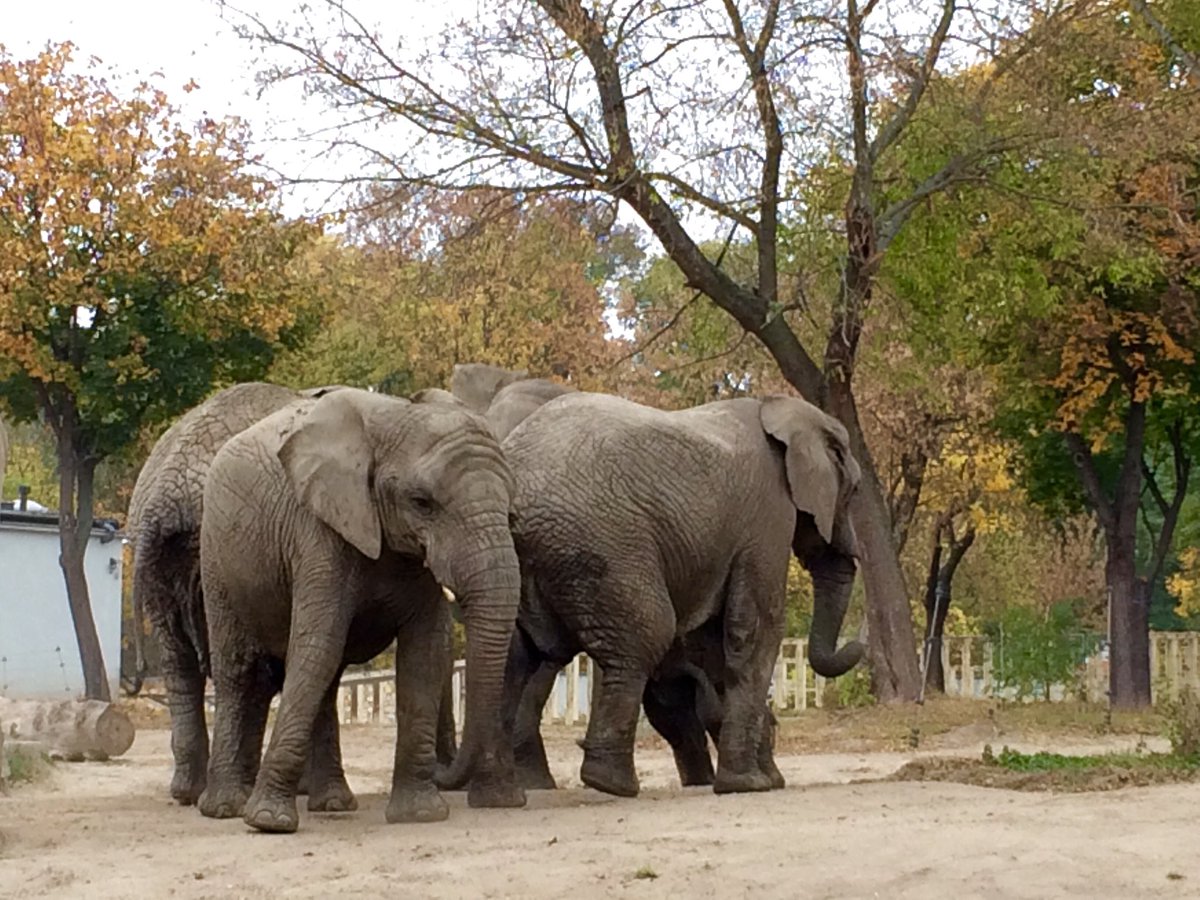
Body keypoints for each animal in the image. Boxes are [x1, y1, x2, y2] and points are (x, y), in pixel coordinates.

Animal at [196, 391, 525, 835]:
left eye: (510, 511)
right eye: (422, 503)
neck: (395, 416)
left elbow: (425, 653)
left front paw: (419, 815)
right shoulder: (318, 531)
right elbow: (317, 643)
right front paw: (268, 822)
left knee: (326, 677)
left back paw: (333, 804)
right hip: (216, 555)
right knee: (240, 672)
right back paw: (225, 808)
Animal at [482, 391, 859, 801]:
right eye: (854, 492)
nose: (859, 643)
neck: (779, 409)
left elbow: (716, 643)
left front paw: (763, 781)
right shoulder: (768, 515)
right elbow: (755, 629)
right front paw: (750, 785)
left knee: (516, 656)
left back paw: (504, 793)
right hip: (602, 545)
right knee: (646, 636)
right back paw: (611, 784)